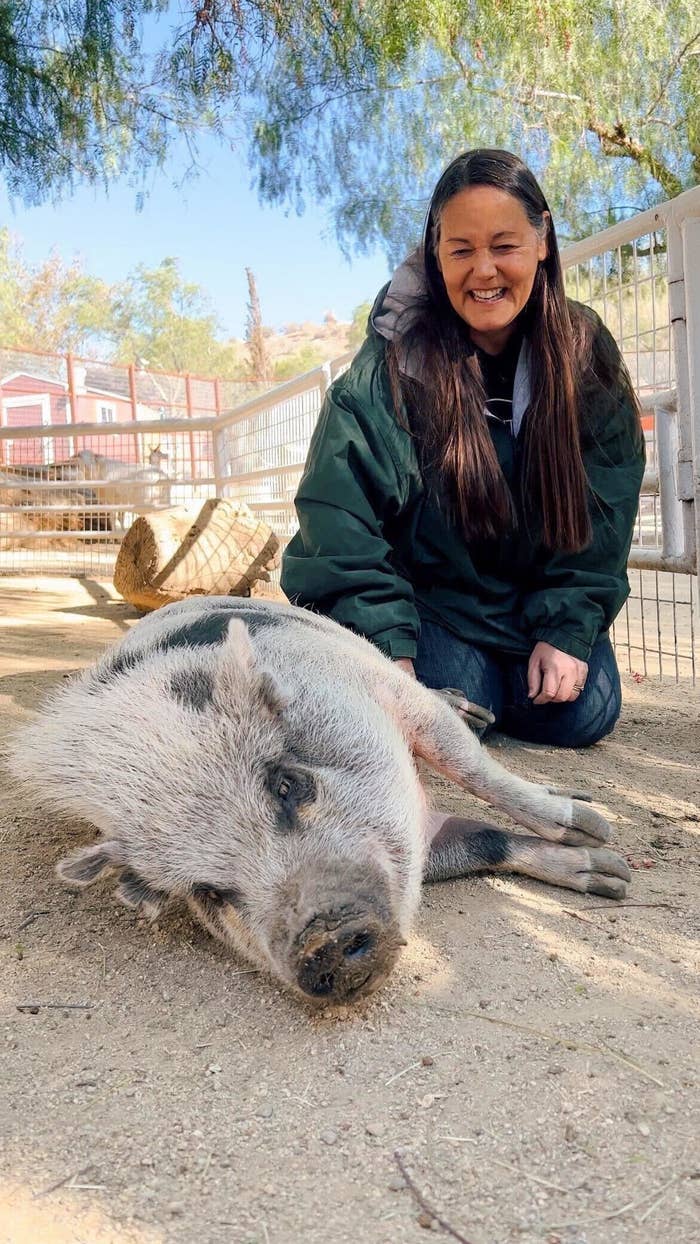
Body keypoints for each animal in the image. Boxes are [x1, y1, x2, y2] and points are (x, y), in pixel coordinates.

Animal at [4, 597, 629, 1005]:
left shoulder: (387, 693)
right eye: (210, 894)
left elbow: (473, 767)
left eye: (287, 784)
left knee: (454, 714)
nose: (319, 942)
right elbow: (480, 840)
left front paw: (594, 830)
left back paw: (478, 713)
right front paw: (608, 876)